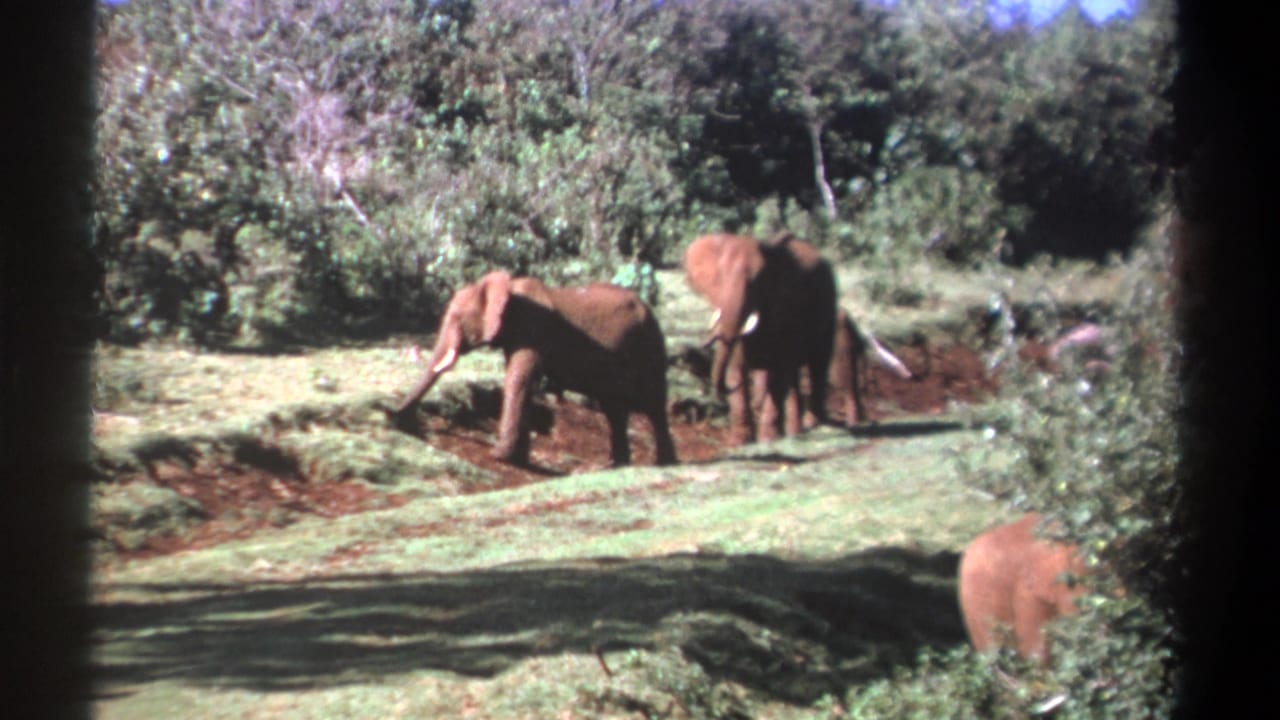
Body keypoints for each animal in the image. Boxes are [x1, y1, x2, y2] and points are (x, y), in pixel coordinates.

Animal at [392, 271, 677, 467]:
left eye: (456, 319)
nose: (395, 417)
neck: (508, 288)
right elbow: (524, 382)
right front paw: (518, 457)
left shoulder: (533, 328)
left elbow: (518, 378)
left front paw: (499, 456)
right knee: (614, 408)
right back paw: (617, 465)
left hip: (649, 346)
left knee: (653, 403)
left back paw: (665, 464)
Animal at [683, 232, 837, 445]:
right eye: (718, 279)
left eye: (756, 282)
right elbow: (736, 366)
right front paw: (738, 441)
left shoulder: (787, 307)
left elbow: (779, 371)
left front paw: (768, 439)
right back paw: (794, 432)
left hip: (830, 307)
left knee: (817, 364)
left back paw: (810, 425)